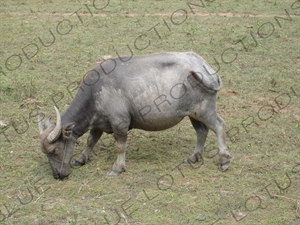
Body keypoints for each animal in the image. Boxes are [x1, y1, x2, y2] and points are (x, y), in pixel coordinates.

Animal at [36, 52, 231, 179]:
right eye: (45, 153)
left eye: (54, 150)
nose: (57, 175)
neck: (95, 92)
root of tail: (202, 65)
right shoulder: (98, 123)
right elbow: (91, 140)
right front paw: (81, 159)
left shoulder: (119, 123)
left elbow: (120, 146)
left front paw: (117, 168)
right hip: (193, 113)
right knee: (202, 131)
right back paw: (194, 157)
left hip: (204, 110)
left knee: (219, 126)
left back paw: (224, 160)